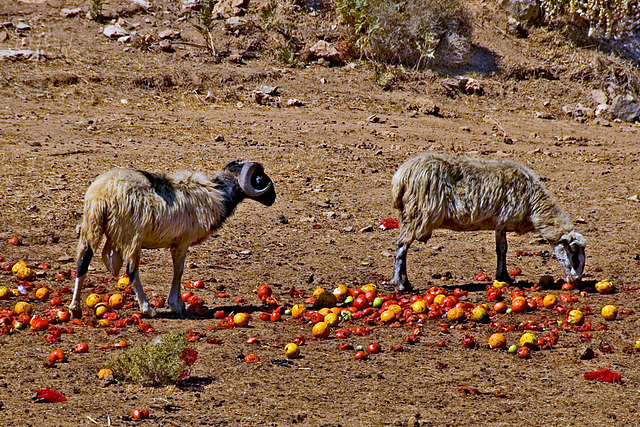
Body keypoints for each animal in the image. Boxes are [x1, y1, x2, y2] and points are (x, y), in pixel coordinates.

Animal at [69, 160, 276, 318]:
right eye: (259, 178)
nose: (273, 197)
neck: (218, 195)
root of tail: (103, 194)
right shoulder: (182, 243)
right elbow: (179, 271)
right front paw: (176, 305)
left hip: (92, 225)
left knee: (83, 261)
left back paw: (75, 308)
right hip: (131, 235)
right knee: (131, 271)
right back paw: (147, 308)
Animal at [390, 152, 584, 292]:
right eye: (574, 255)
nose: (576, 280)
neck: (533, 205)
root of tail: (401, 176)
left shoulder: (500, 224)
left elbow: (502, 249)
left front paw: (504, 277)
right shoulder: (503, 219)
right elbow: (502, 249)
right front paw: (503, 276)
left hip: (411, 213)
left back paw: (404, 282)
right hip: (418, 213)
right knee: (401, 246)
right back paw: (401, 284)